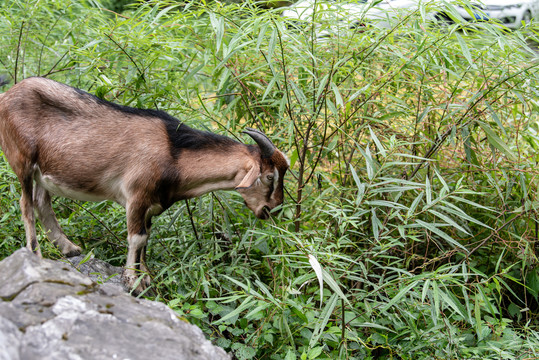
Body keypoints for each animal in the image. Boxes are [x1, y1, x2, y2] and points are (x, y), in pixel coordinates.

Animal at [0, 77, 292, 294]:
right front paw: (133, 281)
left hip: (43, 172)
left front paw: (146, 277)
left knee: (42, 202)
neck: (174, 153)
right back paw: (35, 254)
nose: (273, 209)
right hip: (22, 160)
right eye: (269, 177)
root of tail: (6, 96)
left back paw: (68, 248)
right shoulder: (136, 196)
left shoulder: (151, 205)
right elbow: (137, 238)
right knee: (26, 204)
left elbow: (146, 239)